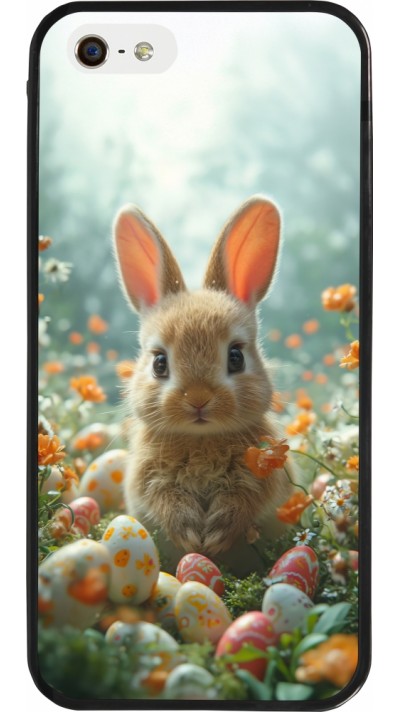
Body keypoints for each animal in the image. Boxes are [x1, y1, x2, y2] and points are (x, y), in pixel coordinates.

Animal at [113, 195, 293, 567]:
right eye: (159, 363)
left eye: (236, 357)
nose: (198, 399)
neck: (201, 439)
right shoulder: (148, 479)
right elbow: (165, 500)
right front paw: (190, 534)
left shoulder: (262, 476)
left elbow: (244, 500)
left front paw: (217, 535)